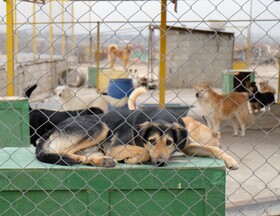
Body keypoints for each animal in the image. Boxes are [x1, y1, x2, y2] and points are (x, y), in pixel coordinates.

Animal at [35, 86, 238, 169]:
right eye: (152, 141)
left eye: (169, 142)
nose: (160, 163)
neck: (161, 117)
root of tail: (52, 130)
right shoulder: (117, 147)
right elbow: (145, 152)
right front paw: (134, 158)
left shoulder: (185, 145)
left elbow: (211, 148)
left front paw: (230, 159)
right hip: (99, 127)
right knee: (63, 152)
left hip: (96, 146)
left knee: (81, 156)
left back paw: (102, 161)